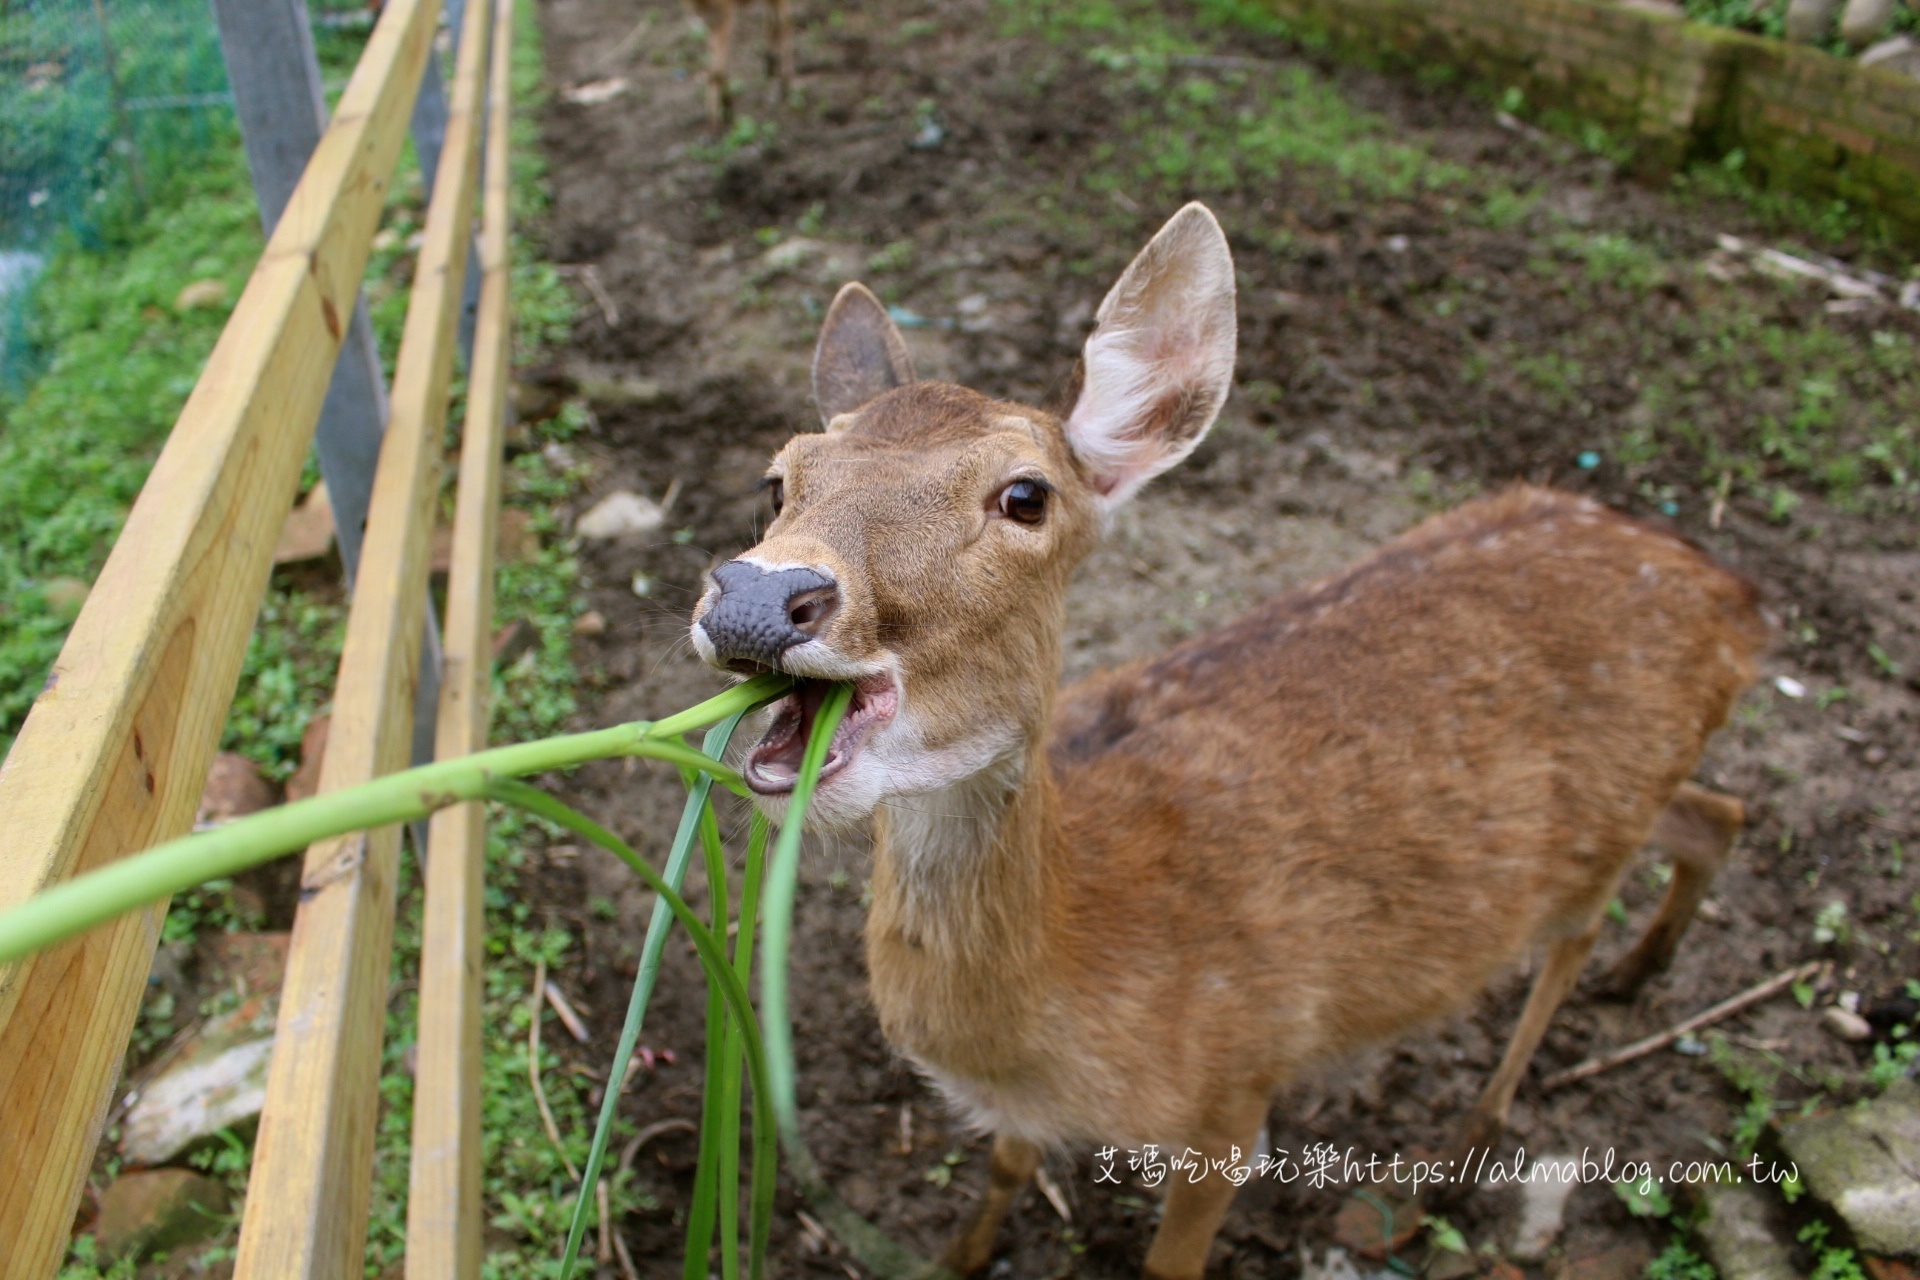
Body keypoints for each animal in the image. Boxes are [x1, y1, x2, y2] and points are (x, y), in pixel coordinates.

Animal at [695, 205, 1766, 1274]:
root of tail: (1735, 598)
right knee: (1719, 812)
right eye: (779, 479)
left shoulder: (1234, 1093)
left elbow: (1170, 1256)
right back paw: (1640, 970)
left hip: (1594, 840)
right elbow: (1003, 1165)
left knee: (1581, 924)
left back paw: (1466, 1145)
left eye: (1026, 495)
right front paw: (957, 1256)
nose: (756, 595)